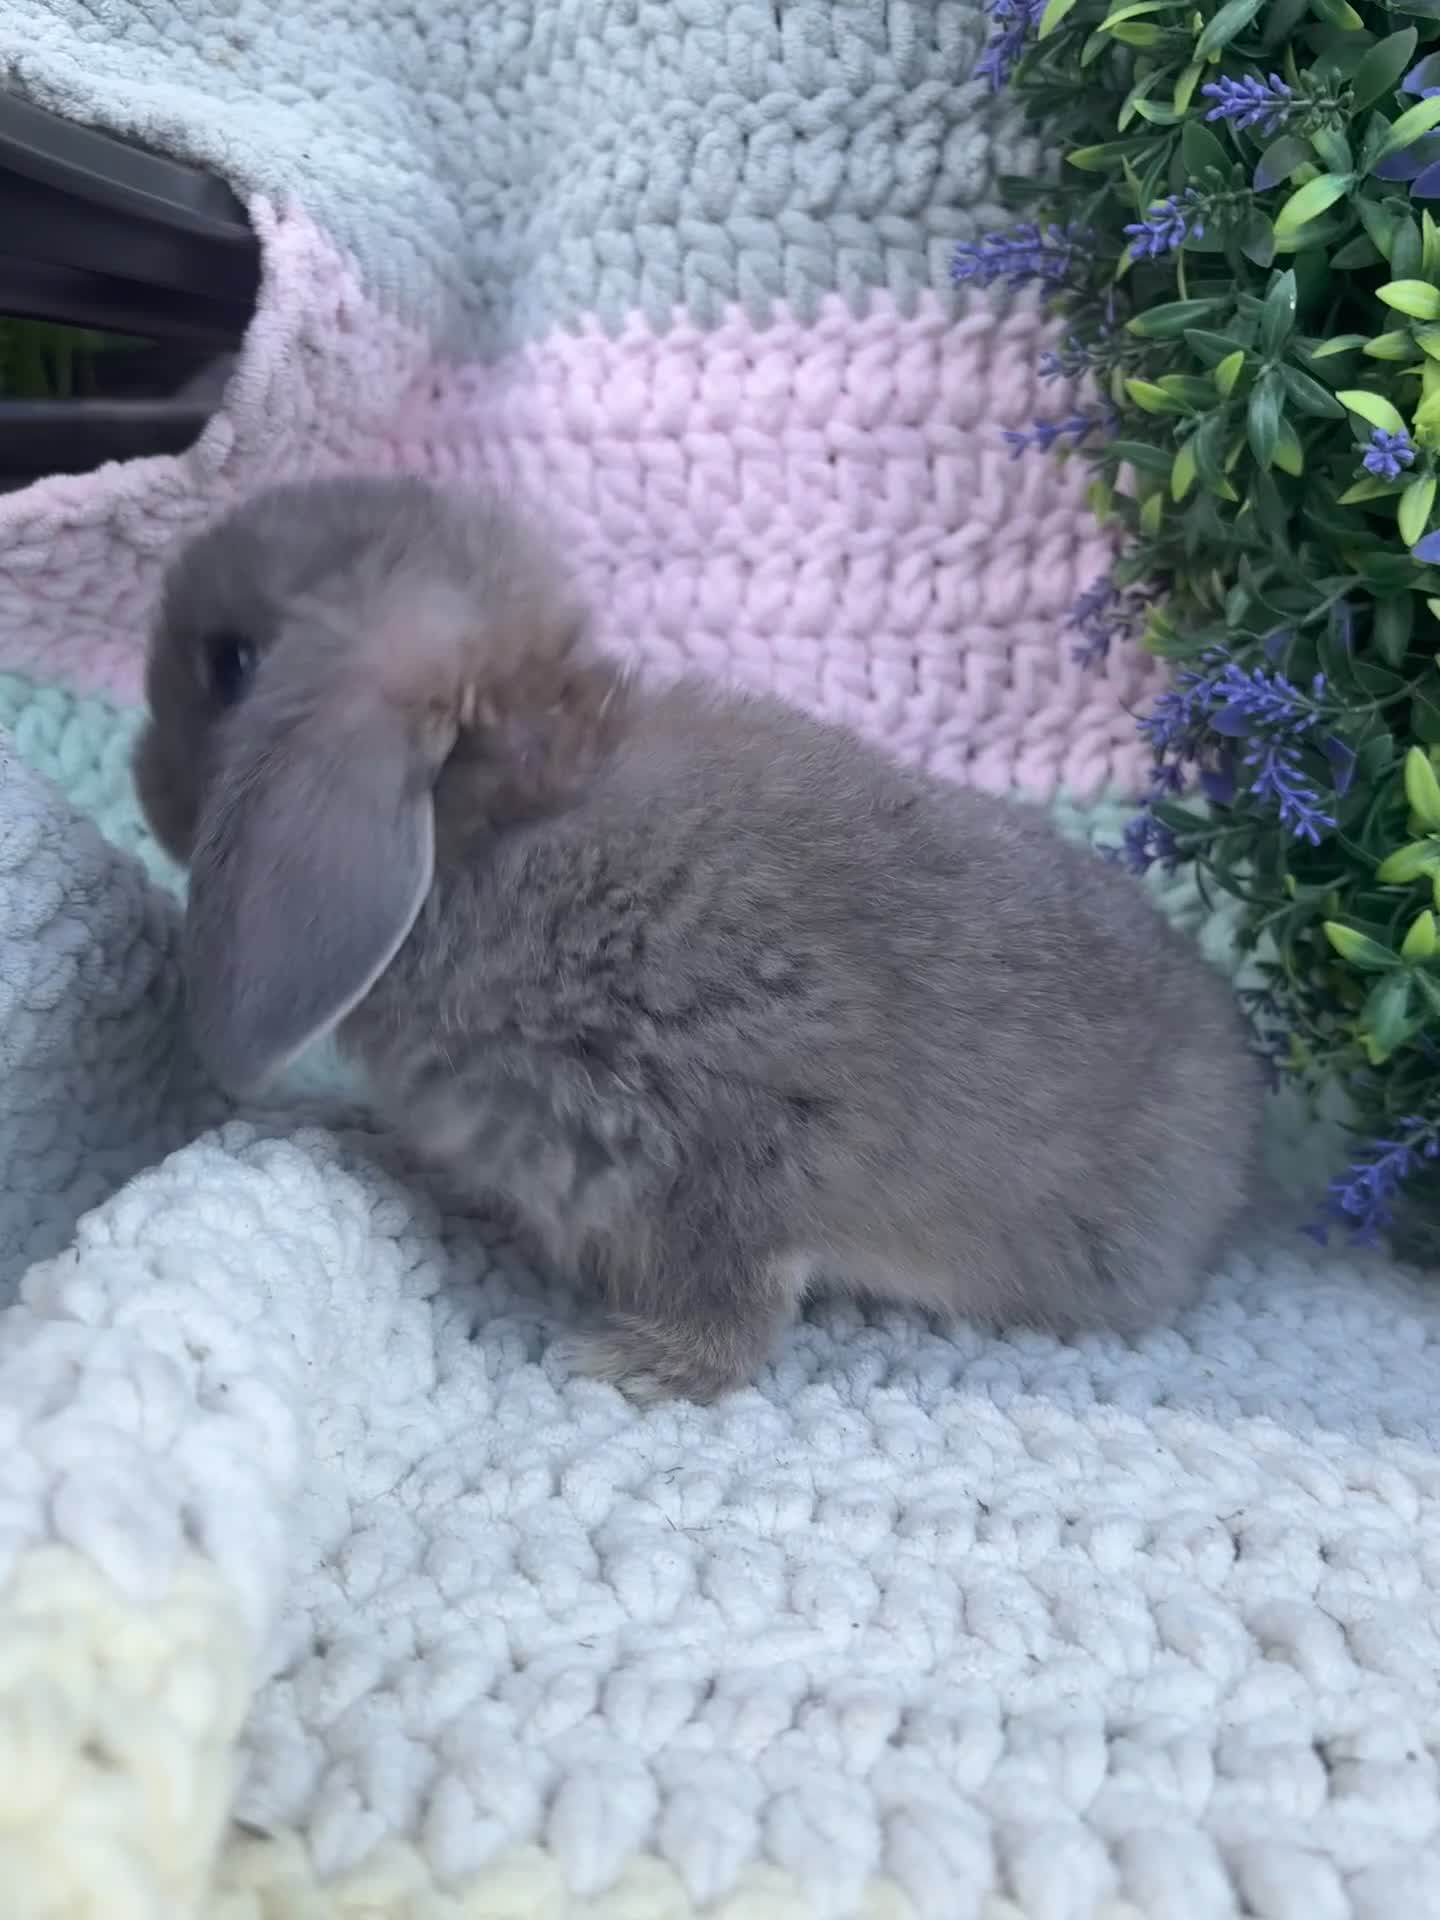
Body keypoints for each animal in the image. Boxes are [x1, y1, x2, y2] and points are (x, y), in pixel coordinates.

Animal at [135, 472, 1267, 1404]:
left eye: (230, 665)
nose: (141, 789)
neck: (508, 824)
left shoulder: (739, 1137)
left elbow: (739, 1296)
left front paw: (630, 1364)